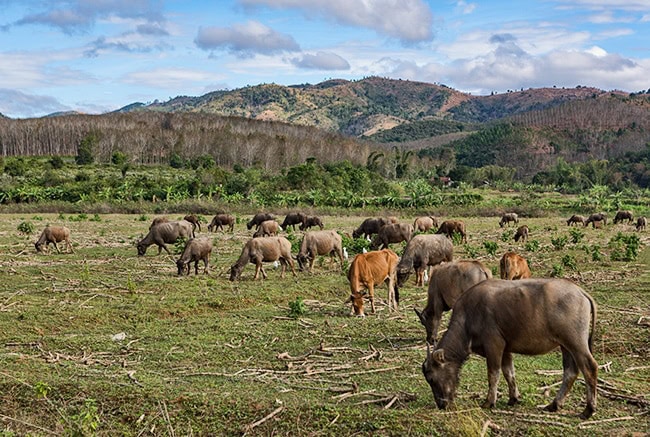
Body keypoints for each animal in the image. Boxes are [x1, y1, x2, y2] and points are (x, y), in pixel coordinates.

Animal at [420, 280, 596, 418]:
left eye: (432, 379)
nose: (442, 404)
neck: (467, 319)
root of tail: (581, 292)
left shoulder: (494, 344)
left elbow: (493, 374)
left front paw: (489, 402)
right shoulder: (505, 349)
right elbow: (509, 372)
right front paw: (513, 398)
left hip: (576, 342)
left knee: (589, 367)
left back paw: (588, 410)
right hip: (565, 345)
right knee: (570, 372)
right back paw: (554, 405)